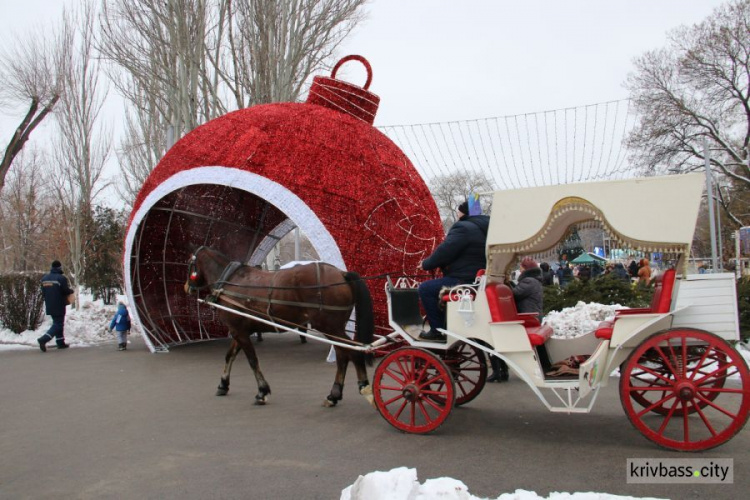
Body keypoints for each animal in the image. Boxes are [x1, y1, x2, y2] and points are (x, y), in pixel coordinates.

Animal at [183, 245, 376, 406]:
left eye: (190, 265)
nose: (186, 287)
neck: (230, 282)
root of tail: (341, 274)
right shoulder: (240, 330)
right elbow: (229, 356)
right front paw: (223, 384)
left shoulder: (238, 331)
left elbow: (252, 360)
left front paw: (262, 391)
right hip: (334, 328)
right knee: (343, 355)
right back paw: (334, 394)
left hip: (329, 326)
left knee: (352, 352)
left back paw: (364, 388)